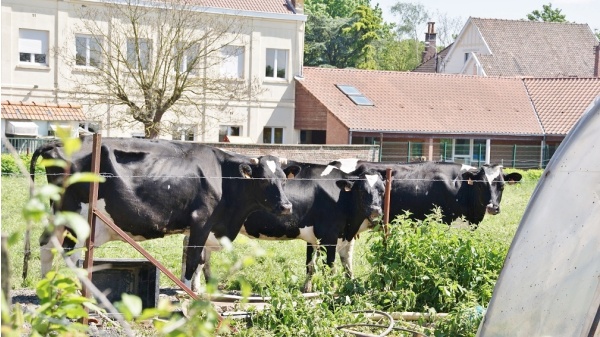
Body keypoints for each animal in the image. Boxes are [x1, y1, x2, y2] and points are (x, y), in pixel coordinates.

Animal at [29, 136, 298, 286]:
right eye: (264, 181)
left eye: (283, 180)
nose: (286, 206)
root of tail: (55, 142)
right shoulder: (202, 221)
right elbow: (192, 261)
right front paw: (187, 295)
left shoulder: (200, 228)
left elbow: (197, 261)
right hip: (79, 218)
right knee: (71, 253)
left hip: (58, 214)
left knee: (46, 245)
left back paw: (46, 287)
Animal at [183, 161, 386, 292]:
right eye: (361, 190)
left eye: (382, 191)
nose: (375, 210)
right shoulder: (328, 236)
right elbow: (331, 266)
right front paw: (333, 290)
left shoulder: (325, 237)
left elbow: (321, 265)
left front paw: (310, 289)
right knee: (197, 254)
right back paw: (195, 288)